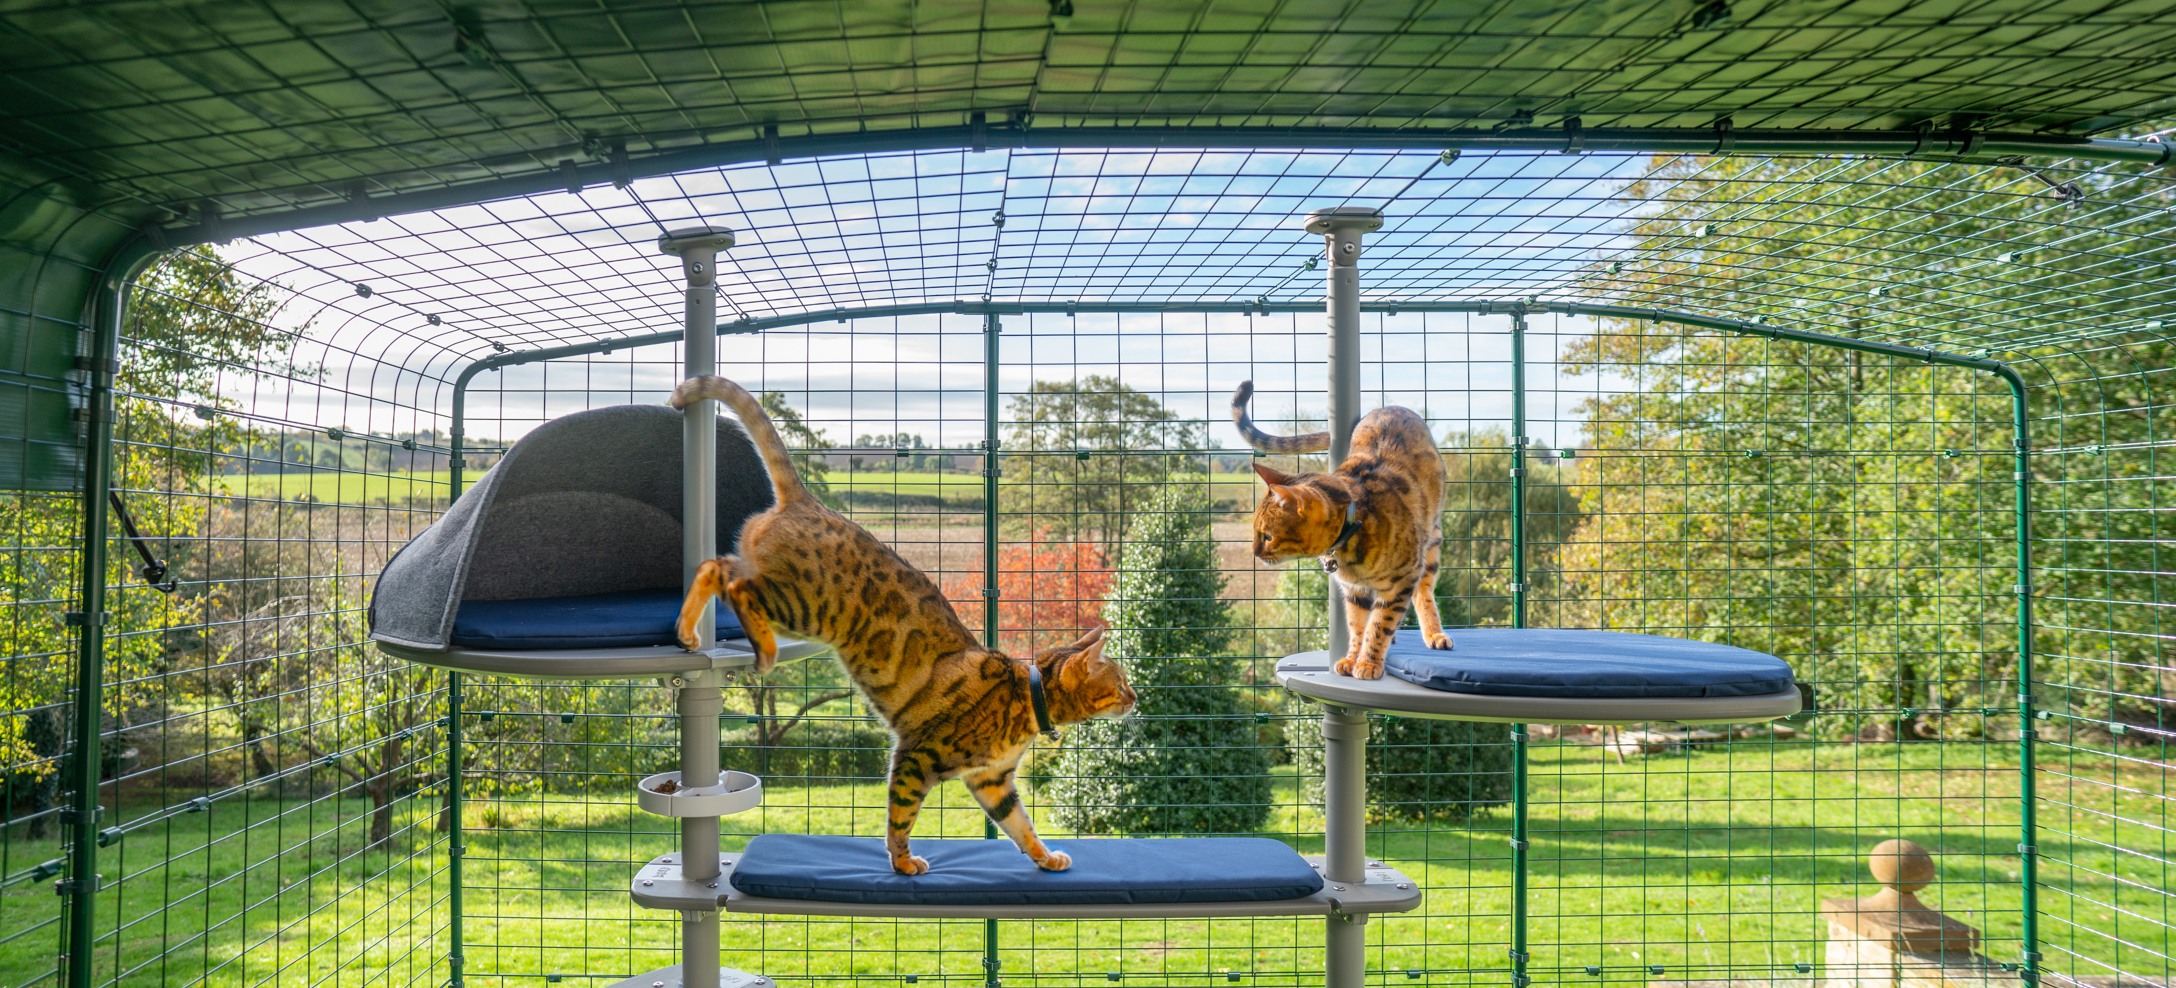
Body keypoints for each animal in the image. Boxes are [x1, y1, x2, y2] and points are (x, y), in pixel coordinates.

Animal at [670, 376, 1140, 870]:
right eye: (1121, 683)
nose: (1136, 698)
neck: (1026, 696)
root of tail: (808, 501)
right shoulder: (917, 756)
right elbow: (901, 815)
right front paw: (903, 862)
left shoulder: (992, 780)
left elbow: (1020, 825)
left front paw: (1045, 857)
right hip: (804, 606)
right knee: (736, 586)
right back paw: (760, 648)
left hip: (777, 584)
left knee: (714, 566)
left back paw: (686, 631)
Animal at [1235, 378, 1453, 678]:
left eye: (1267, 536)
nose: (1254, 553)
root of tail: (1387, 407)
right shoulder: (1353, 591)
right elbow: (1357, 625)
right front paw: (1352, 658)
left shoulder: (1402, 579)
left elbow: (1379, 624)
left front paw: (1368, 663)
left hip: (1431, 543)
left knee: (1424, 591)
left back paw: (1434, 634)